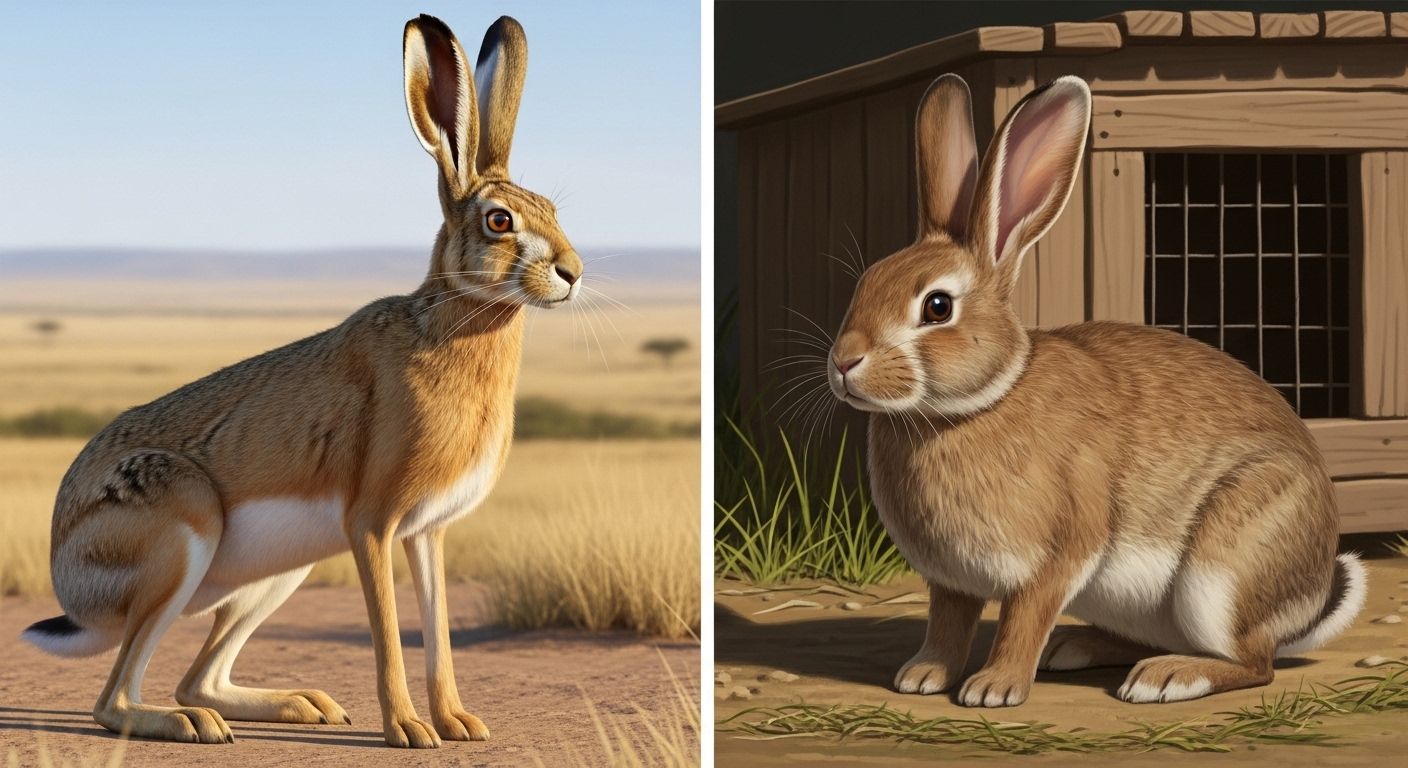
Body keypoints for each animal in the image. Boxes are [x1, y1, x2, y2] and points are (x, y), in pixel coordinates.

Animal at [19, 14, 583, 748]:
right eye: (499, 220)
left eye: (552, 209)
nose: (573, 271)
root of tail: (69, 581)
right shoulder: (372, 524)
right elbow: (388, 634)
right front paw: (409, 731)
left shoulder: (426, 533)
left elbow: (437, 633)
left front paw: (460, 724)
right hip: (181, 533)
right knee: (115, 699)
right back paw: (190, 725)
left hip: (281, 570)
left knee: (197, 676)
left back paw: (301, 705)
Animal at [826, 73, 1365, 708]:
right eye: (866, 283)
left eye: (937, 307)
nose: (843, 362)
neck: (970, 408)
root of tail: (1309, 600)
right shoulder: (951, 581)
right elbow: (948, 625)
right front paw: (922, 676)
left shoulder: (1057, 554)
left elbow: (1022, 620)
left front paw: (993, 689)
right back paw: (1079, 649)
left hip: (1223, 571)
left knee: (1255, 663)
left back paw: (1166, 678)